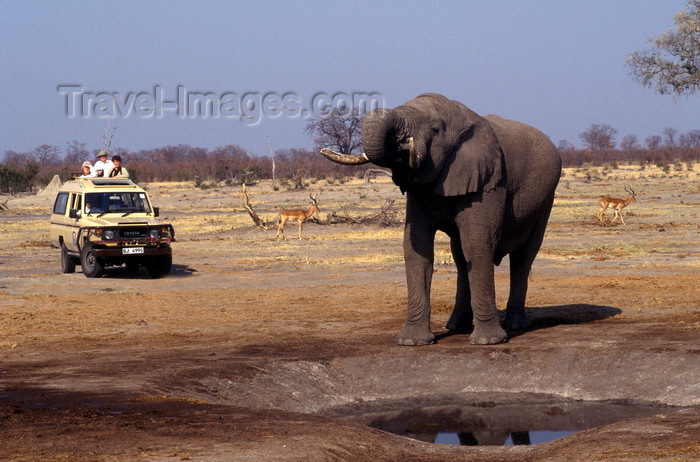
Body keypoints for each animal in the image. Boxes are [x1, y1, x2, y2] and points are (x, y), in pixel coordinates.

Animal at [322, 94, 564, 344]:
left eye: (435, 129)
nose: (403, 143)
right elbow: (416, 248)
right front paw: (412, 342)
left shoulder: (488, 183)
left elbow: (478, 244)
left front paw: (487, 341)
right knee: (460, 257)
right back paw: (456, 326)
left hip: (546, 198)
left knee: (523, 256)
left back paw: (514, 325)